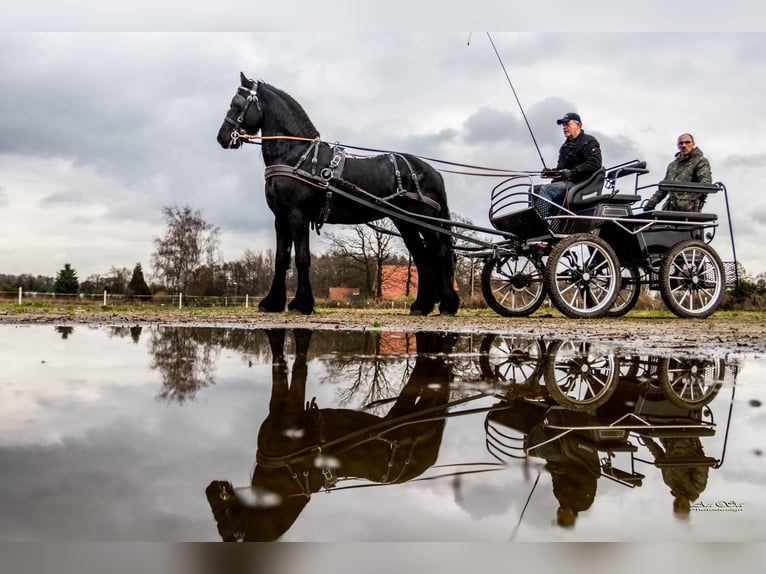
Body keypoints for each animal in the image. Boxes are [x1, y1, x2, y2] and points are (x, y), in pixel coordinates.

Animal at [216, 73, 460, 316]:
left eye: (237, 104)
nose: (222, 137)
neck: (296, 156)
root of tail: (432, 170)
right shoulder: (281, 217)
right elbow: (281, 259)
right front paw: (272, 302)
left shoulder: (297, 214)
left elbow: (302, 258)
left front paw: (301, 303)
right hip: (406, 222)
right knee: (422, 257)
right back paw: (421, 305)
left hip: (426, 220)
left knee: (439, 253)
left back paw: (447, 305)